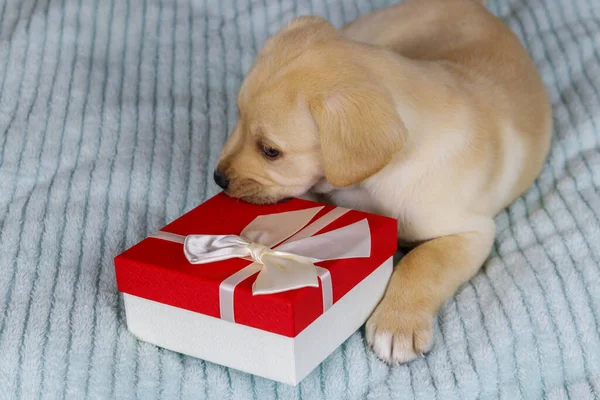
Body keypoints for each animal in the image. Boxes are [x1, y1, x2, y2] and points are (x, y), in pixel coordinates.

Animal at [214, 0, 552, 364]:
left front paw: (398, 324)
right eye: (237, 116)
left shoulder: (471, 232)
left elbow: (421, 263)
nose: (217, 178)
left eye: (270, 151)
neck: (371, 183)